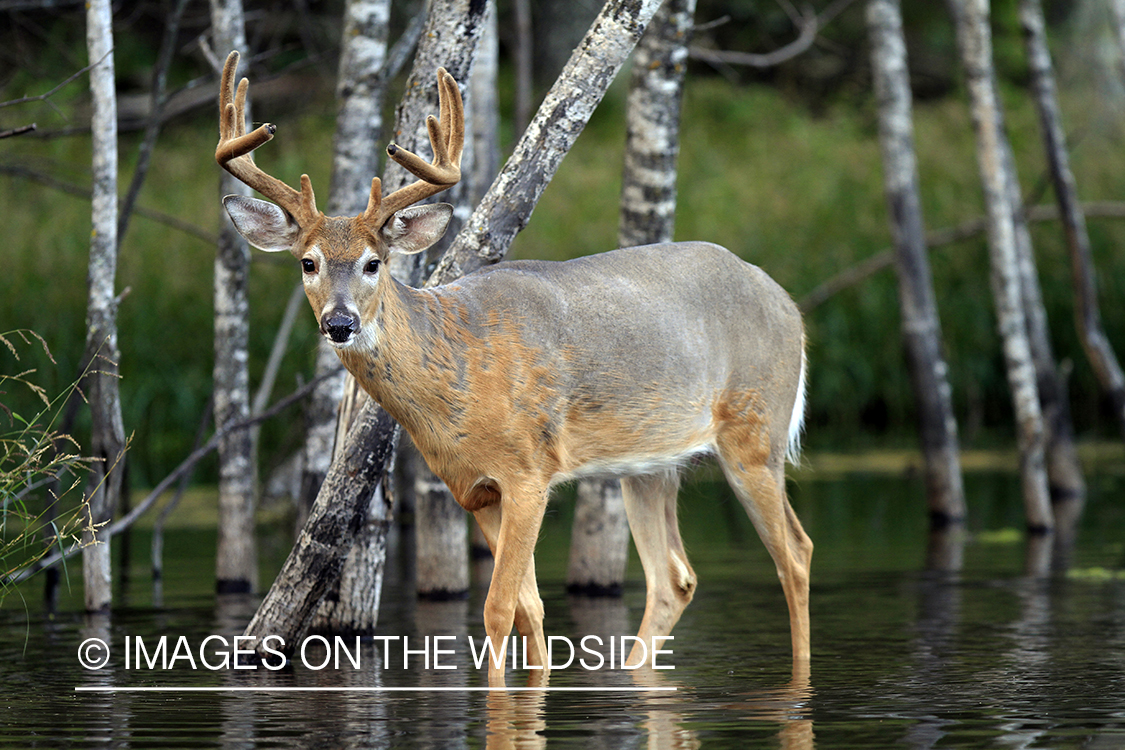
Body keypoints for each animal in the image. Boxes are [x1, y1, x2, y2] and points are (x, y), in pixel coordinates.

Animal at [217, 51, 810, 688]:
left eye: (374, 262)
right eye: (308, 263)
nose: (339, 322)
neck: (456, 376)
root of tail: (788, 304)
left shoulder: (530, 471)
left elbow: (499, 608)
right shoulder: (474, 491)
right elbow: (530, 609)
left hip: (756, 431)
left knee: (795, 556)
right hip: (650, 464)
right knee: (674, 577)